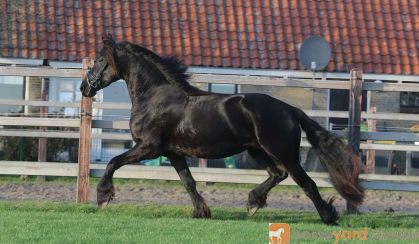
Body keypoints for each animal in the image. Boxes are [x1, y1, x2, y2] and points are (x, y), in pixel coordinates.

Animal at [80, 34, 362, 225]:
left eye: (99, 60)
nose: (84, 87)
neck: (155, 97)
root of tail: (289, 109)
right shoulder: (172, 153)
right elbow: (188, 182)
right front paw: (201, 212)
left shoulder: (149, 147)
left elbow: (113, 163)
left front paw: (103, 197)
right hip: (257, 150)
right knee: (278, 174)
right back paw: (252, 203)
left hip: (282, 152)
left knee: (306, 182)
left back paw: (328, 217)